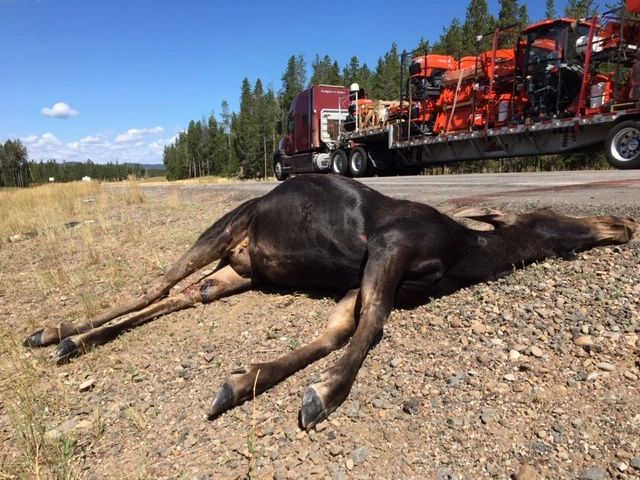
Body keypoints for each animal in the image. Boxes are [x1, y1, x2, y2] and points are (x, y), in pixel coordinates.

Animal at [23, 174, 636, 430]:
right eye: (553, 216)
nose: (622, 224)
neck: (468, 253)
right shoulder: (390, 245)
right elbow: (372, 327)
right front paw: (324, 393)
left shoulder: (359, 278)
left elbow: (339, 329)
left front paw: (246, 380)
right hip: (224, 228)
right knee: (158, 287)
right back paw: (58, 333)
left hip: (237, 274)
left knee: (184, 298)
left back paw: (75, 338)